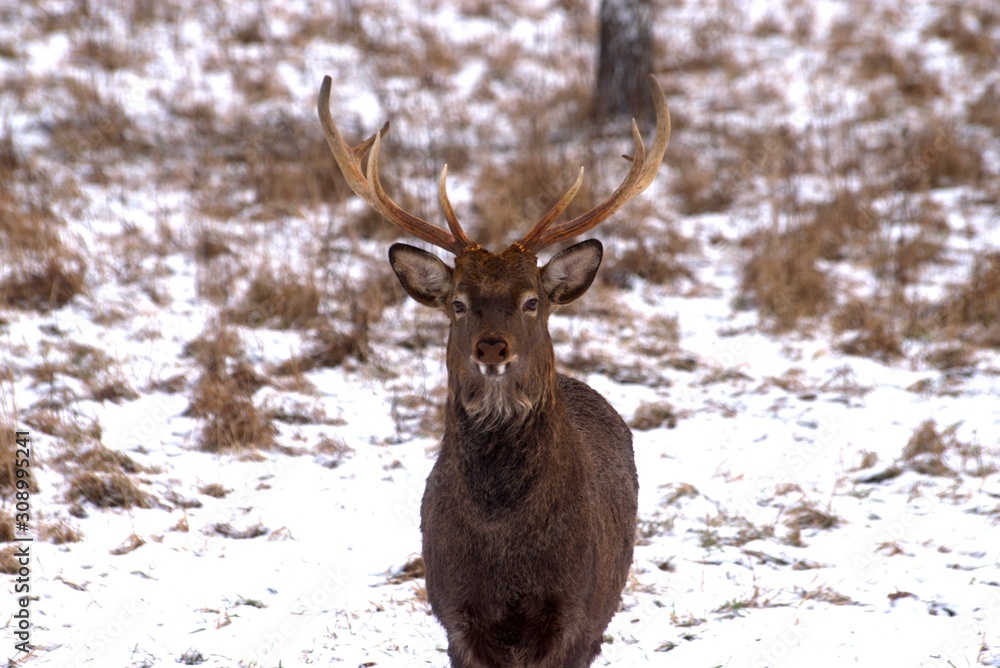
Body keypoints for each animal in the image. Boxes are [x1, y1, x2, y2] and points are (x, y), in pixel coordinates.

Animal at [316, 73, 668, 668]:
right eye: (459, 303)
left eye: (532, 301)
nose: (492, 348)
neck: (506, 546)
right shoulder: (456, 612)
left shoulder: (573, 611)